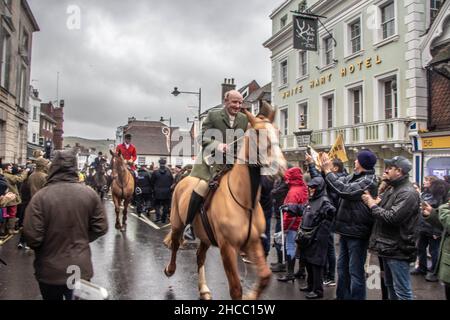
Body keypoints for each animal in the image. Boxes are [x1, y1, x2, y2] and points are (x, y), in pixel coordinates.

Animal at [163, 105, 286, 300]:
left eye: (278, 132)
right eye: (258, 134)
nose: (281, 167)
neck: (245, 202)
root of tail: (184, 179)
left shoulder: (253, 242)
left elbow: (266, 276)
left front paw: (251, 296)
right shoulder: (227, 248)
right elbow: (236, 289)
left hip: (205, 236)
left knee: (199, 256)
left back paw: (204, 289)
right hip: (177, 223)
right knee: (175, 244)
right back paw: (170, 269)